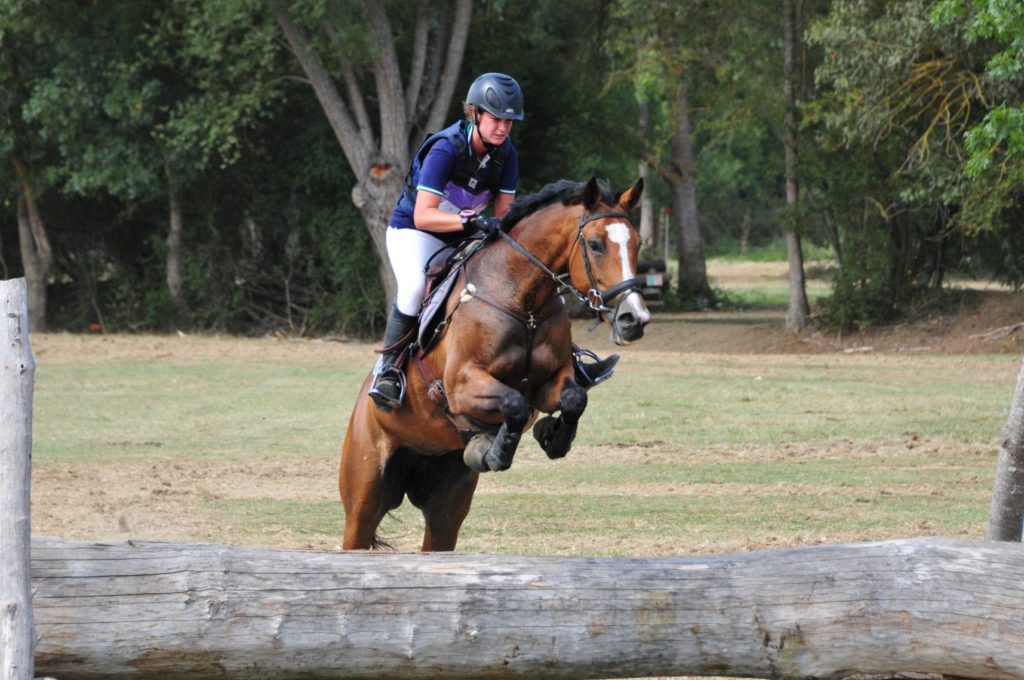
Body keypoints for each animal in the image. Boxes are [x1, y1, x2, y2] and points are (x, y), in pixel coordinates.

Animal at [339, 176, 651, 553]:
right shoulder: (461, 386)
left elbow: (574, 398)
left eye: (638, 243)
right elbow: (514, 404)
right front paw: (496, 451)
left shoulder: (548, 384)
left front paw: (553, 437)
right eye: (595, 245)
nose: (634, 319)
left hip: (446, 506)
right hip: (364, 495)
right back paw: (387, 384)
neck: (522, 298)